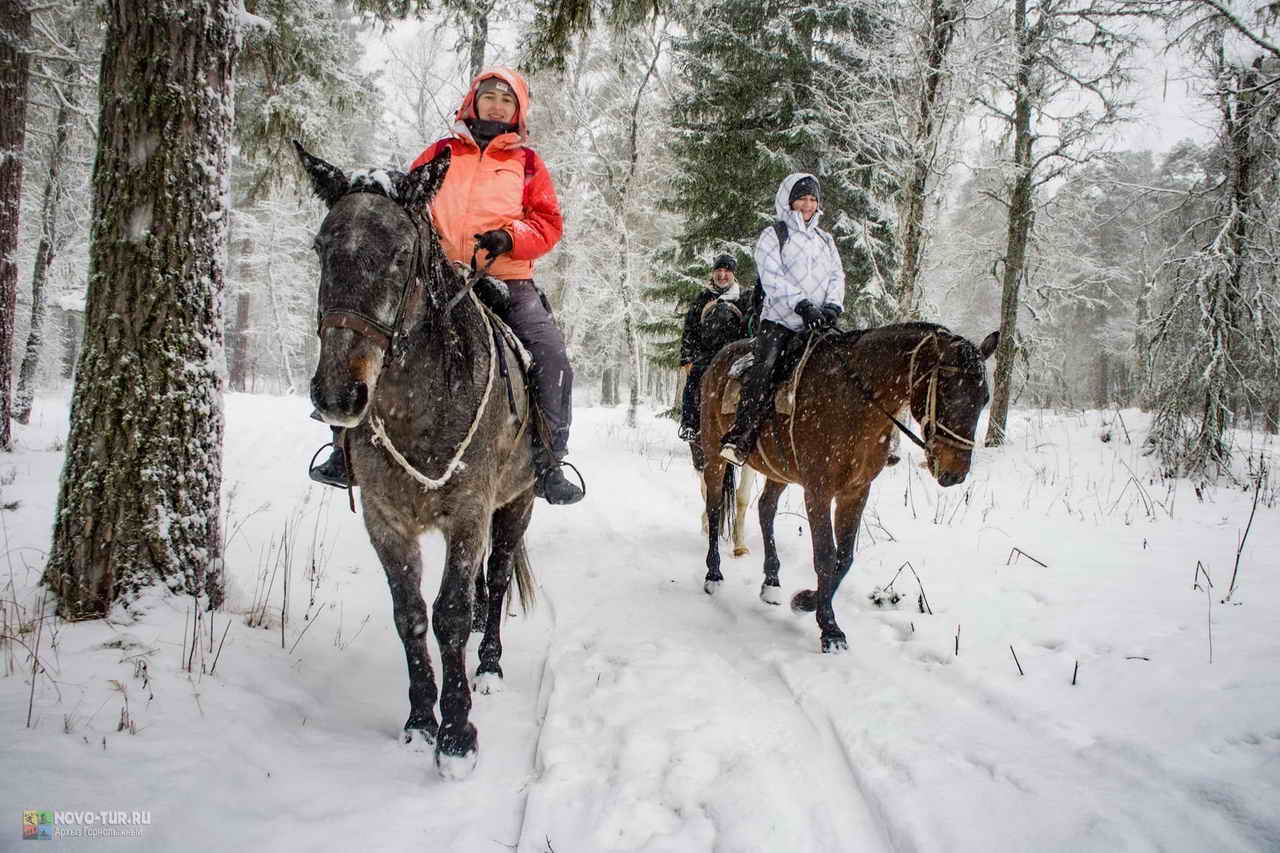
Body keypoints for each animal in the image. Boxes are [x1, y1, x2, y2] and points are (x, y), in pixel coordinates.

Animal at [295, 140, 535, 778]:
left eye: (401, 254)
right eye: (321, 247)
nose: (338, 395)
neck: (420, 405)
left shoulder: (469, 513)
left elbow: (449, 612)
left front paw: (457, 733)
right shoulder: (387, 521)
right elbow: (410, 614)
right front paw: (421, 720)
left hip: (519, 503)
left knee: (498, 575)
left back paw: (490, 661)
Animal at [701, 322, 998, 648]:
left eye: (984, 398)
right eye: (945, 388)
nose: (954, 472)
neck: (856, 401)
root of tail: (720, 356)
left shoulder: (855, 492)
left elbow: (844, 558)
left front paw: (805, 600)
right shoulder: (818, 491)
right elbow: (826, 556)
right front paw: (829, 628)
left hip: (778, 472)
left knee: (766, 509)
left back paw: (771, 583)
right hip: (713, 455)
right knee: (714, 507)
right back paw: (713, 575)